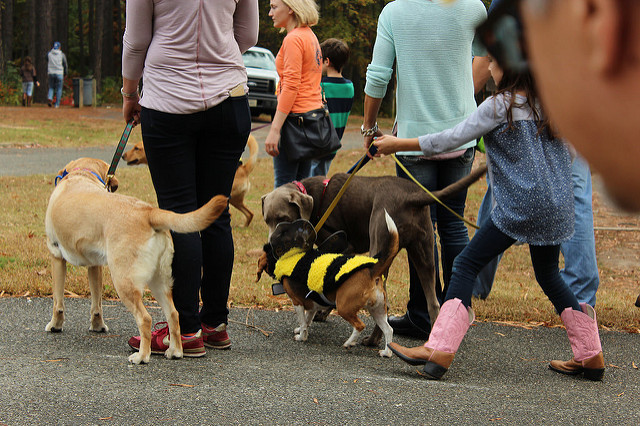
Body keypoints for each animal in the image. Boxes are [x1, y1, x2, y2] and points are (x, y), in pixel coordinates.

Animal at [43, 158, 228, 364]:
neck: (81, 175)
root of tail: (149, 211)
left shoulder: (56, 256)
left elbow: (58, 301)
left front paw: (55, 325)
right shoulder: (95, 266)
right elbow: (97, 304)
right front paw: (98, 325)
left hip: (124, 281)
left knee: (144, 318)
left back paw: (142, 355)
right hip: (159, 280)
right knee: (174, 314)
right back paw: (175, 350)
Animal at [258, 165, 484, 344]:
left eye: (282, 218)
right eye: (266, 219)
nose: (269, 245)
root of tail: (413, 197)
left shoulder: (342, 246)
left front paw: (314, 317)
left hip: (380, 237)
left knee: (385, 303)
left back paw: (373, 341)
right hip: (424, 250)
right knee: (433, 303)